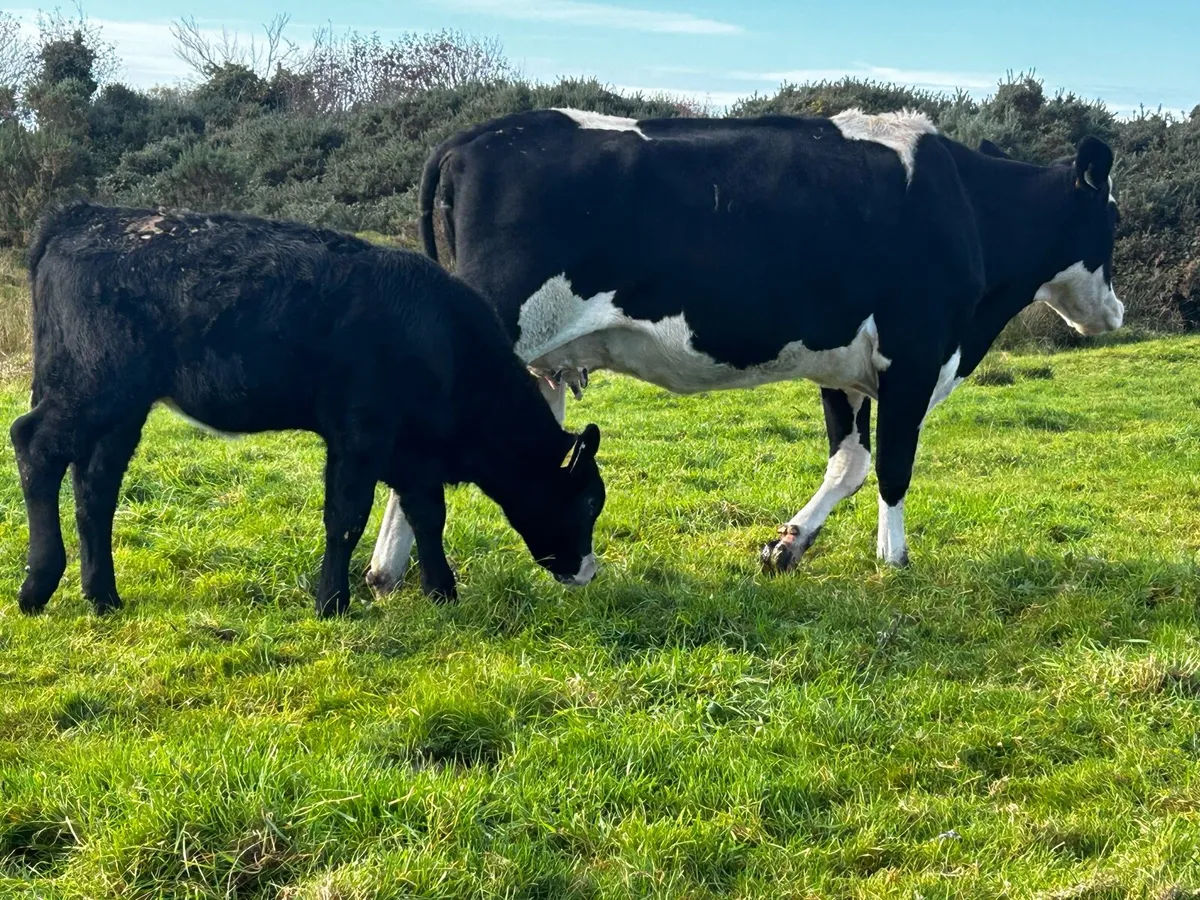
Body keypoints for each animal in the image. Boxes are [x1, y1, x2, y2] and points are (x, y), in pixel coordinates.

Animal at [11, 202, 606, 618]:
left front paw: (442, 593)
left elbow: (427, 516)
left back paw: (102, 595)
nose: (588, 573)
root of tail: (85, 215)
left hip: (120, 409)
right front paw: (331, 603)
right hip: (90, 386)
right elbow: (346, 517)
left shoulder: (411, 450)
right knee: (32, 444)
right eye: (588, 501)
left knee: (95, 488)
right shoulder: (360, 433)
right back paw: (38, 585)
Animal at [364, 106, 1124, 591]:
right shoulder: (913, 356)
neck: (966, 205)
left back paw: (391, 570)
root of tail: (475, 136)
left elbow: (849, 463)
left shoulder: (843, 364)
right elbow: (893, 468)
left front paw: (787, 546)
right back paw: (388, 573)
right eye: (1113, 218)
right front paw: (894, 560)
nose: (1116, 313)